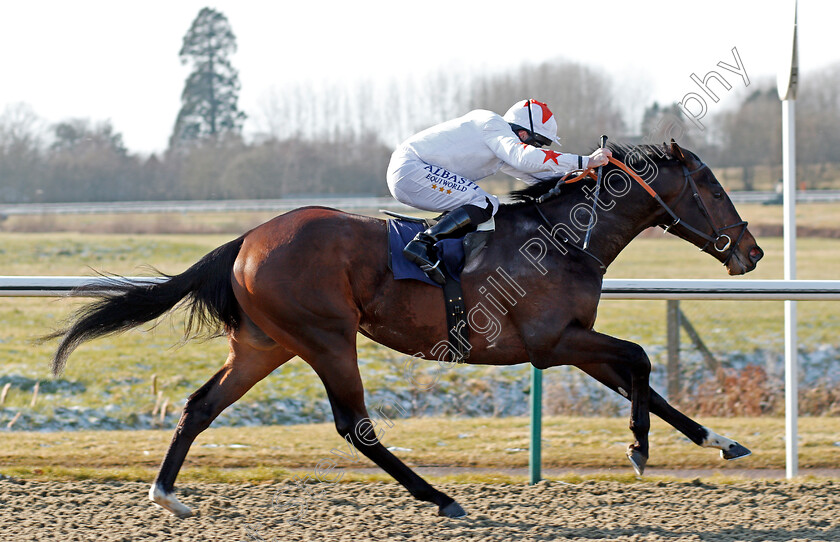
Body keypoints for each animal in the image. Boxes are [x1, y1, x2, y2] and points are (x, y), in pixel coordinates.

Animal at [49, 142, 764, 520]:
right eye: (712, 188)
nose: (751, 252)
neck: (565, 239)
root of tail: (249, 238)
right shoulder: (549, 343)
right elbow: (640, 358)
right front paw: (639, 449)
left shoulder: (571, 341)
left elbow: (646, 381)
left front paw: (718, 441)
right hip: (327, 339)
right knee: (355, 427)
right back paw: (442, 499)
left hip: (266, 344)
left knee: (200, 406)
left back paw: (167, 494)